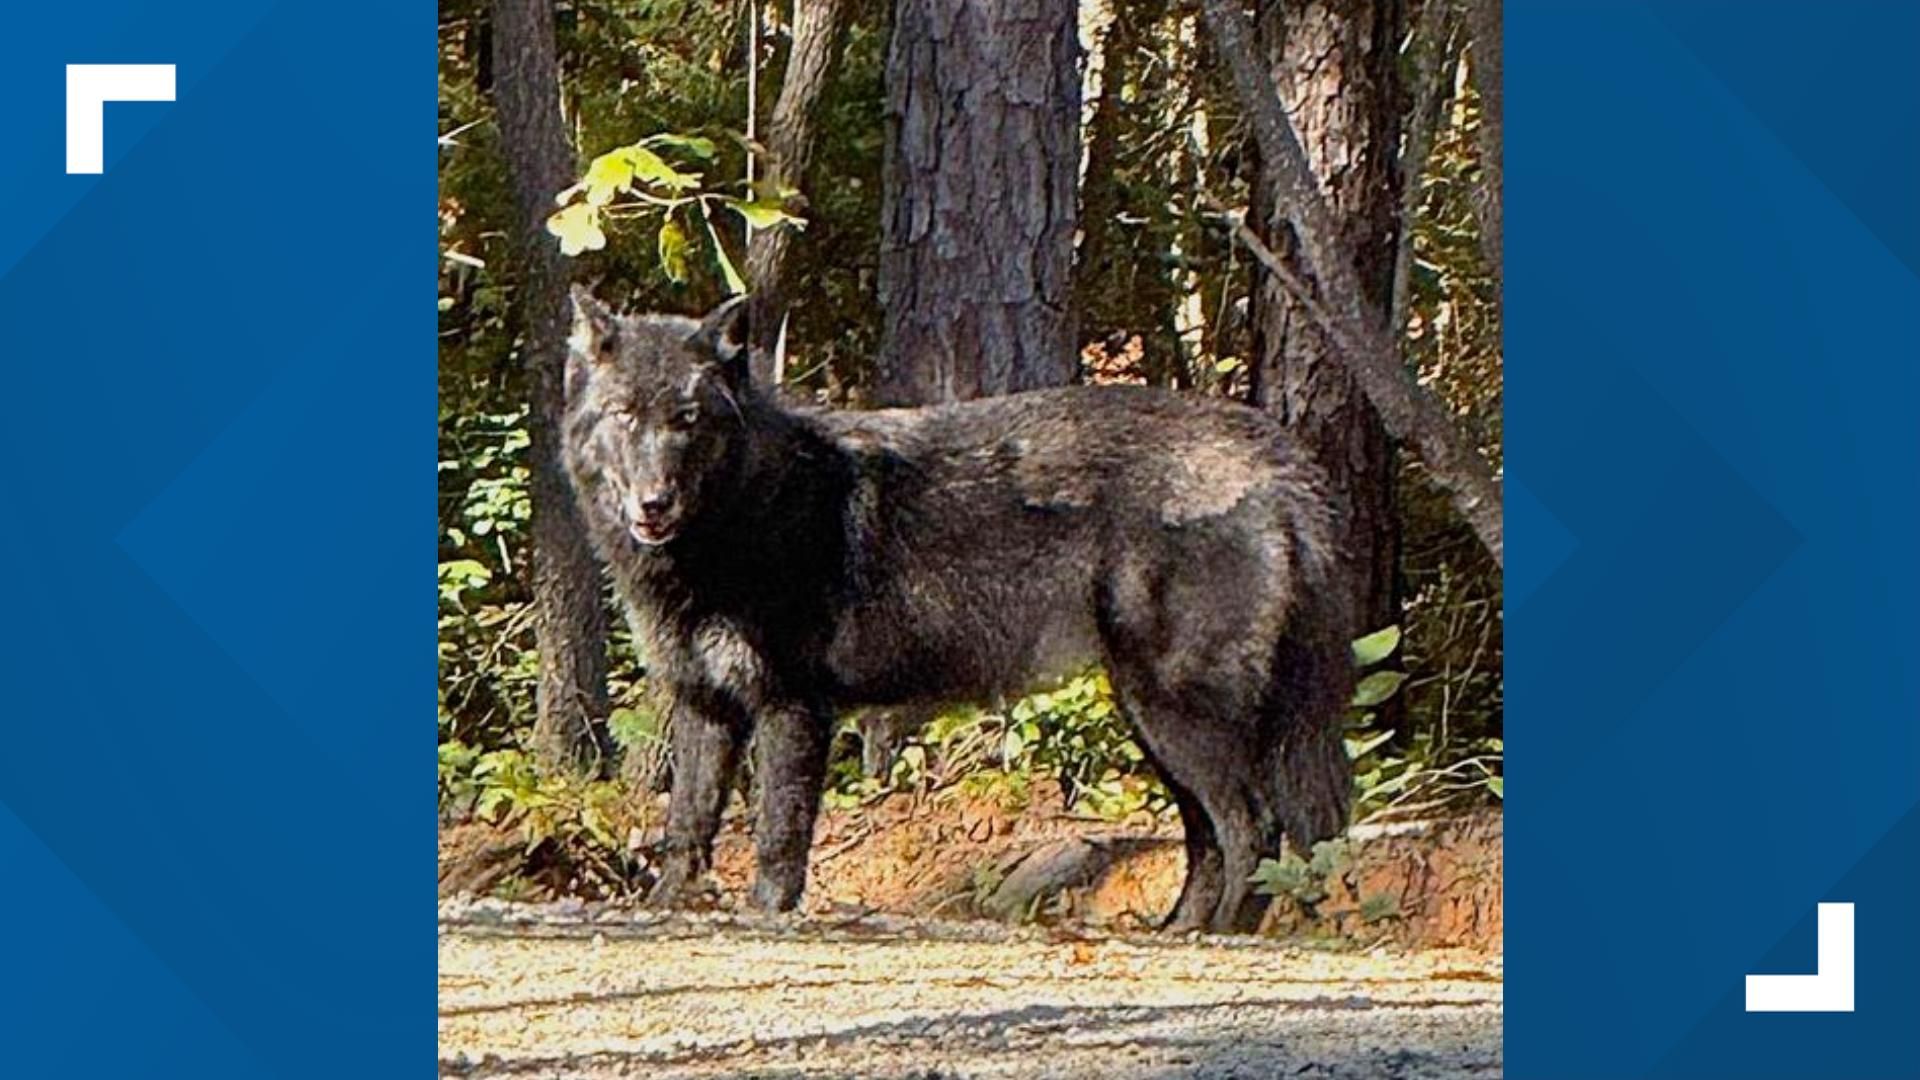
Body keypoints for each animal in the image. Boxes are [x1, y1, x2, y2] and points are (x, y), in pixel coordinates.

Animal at [561, 291, 1355, 932]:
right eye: (625, 416)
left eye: (687, 420)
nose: (654, 504)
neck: (742, 519)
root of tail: (1279, 456)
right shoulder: (707, 705)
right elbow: (687, 824)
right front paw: (668, 906)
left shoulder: (793, 708)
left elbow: (777, 836)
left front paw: (766, 916)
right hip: (1155, 723)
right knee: (1211, 837)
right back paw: (1180, 932)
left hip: (1179, 716)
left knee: (1254, 825)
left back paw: (1229, 932)